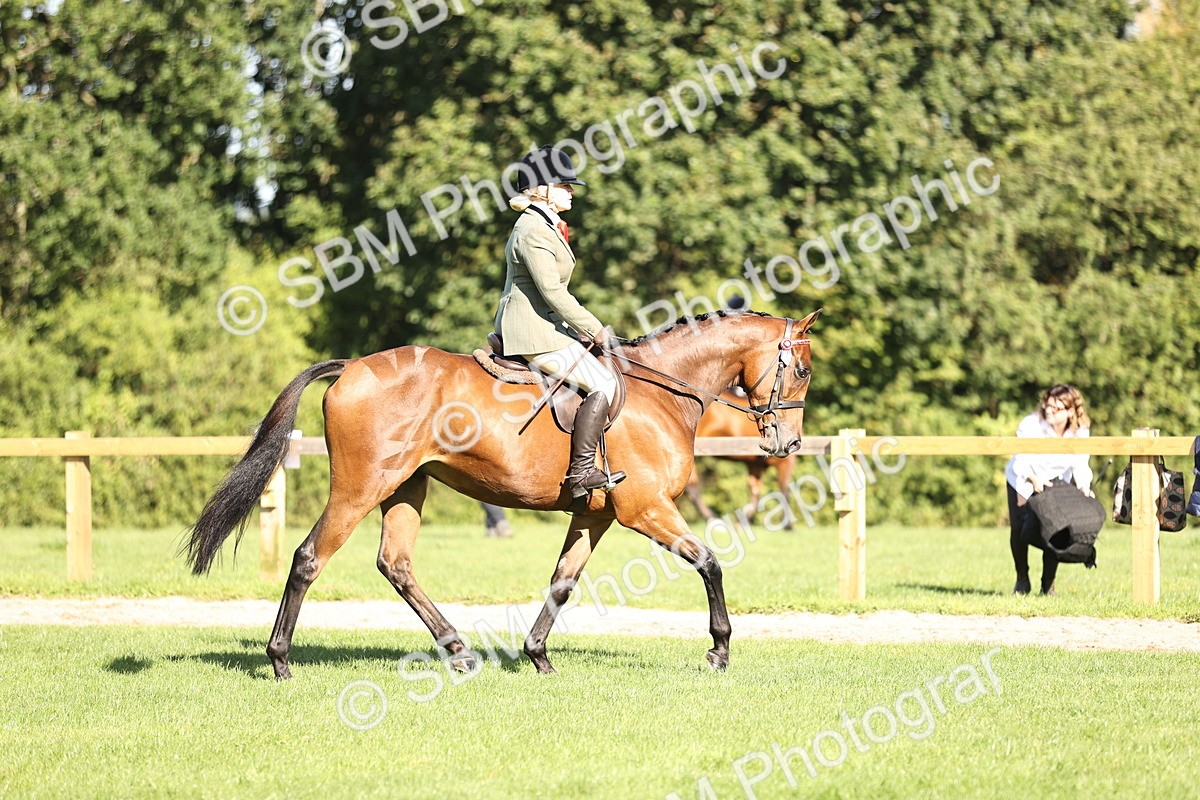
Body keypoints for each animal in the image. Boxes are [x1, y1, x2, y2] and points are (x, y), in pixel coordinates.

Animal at [683, 391, 797, 530]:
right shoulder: (785, 462)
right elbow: (784, 488)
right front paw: (787, 525)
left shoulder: (755, 465)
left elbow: (755, 492)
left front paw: (742, 522)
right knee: (692, 488)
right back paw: (714, 519)